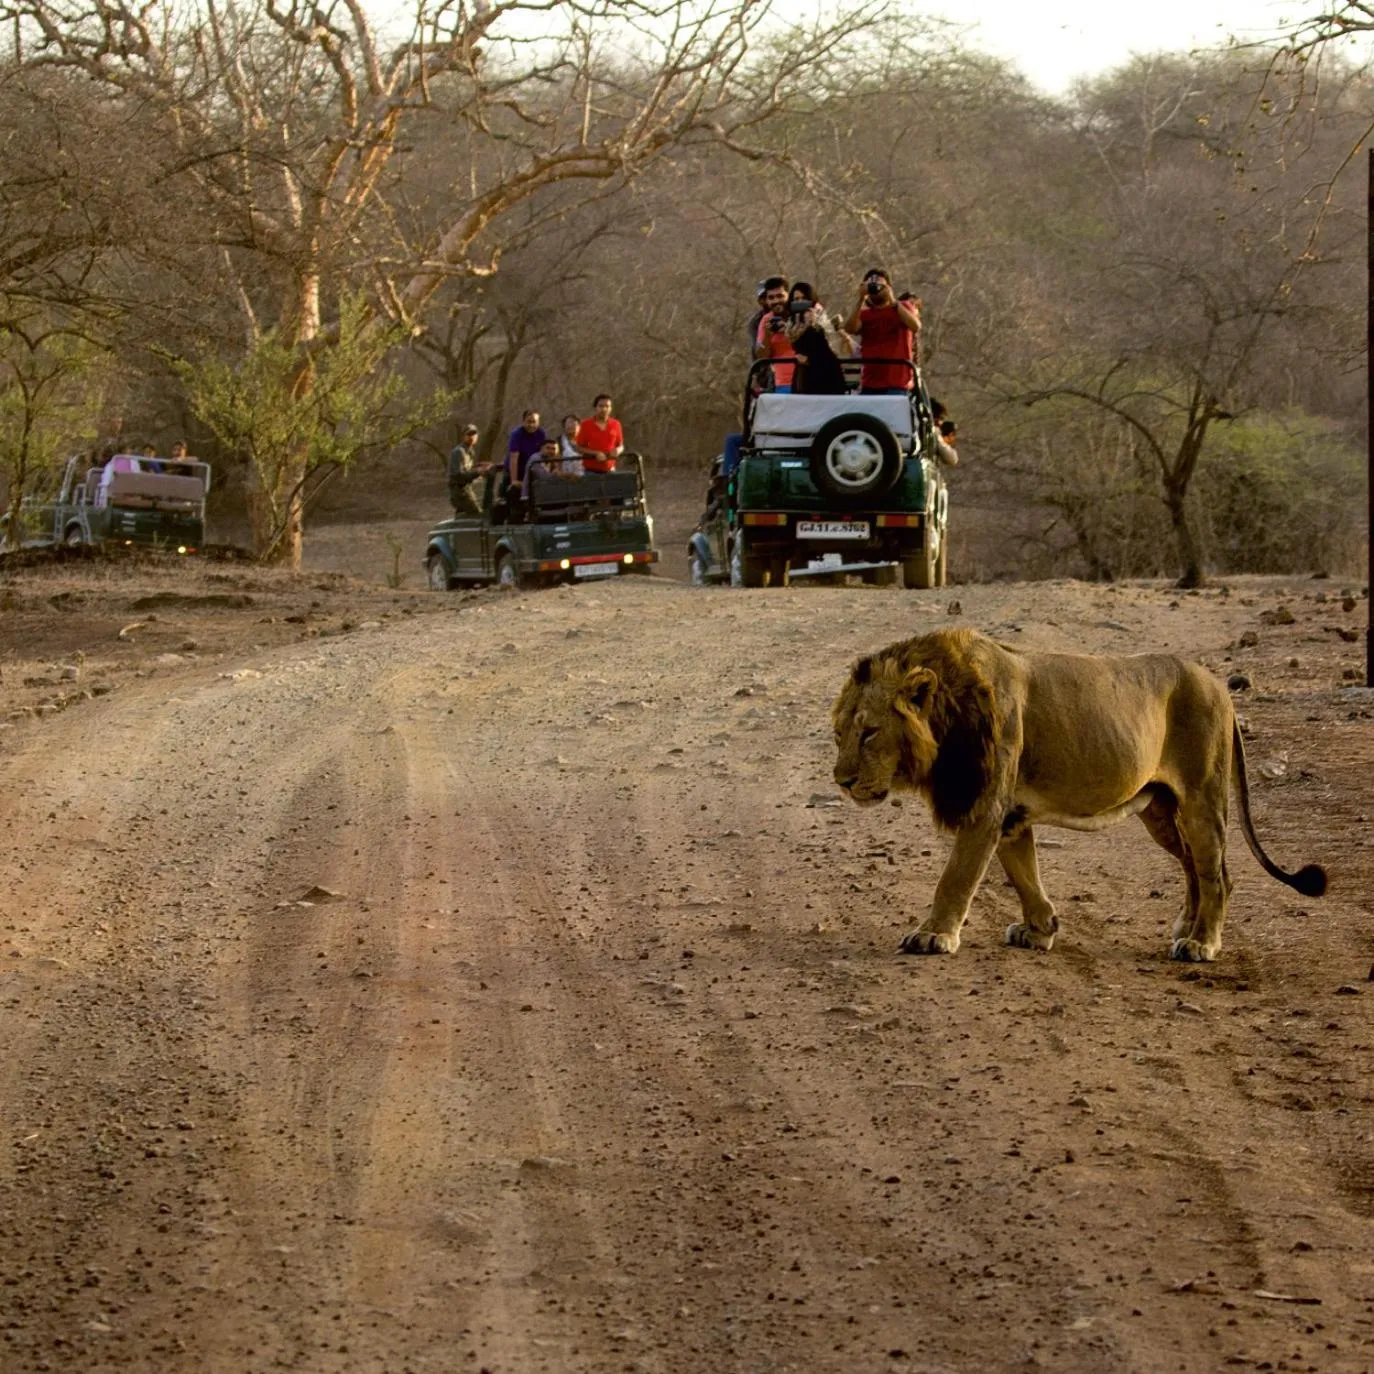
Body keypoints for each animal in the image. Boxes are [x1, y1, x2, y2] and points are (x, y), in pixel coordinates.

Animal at [830, 628, 1326, 962]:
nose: (842, 781)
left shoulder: (985, 807)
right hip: (1160, 809)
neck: (948, 713)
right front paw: (1041, 928)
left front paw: (933, 935)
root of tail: (1219, 685)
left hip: (1202, 798)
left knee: (1217, 873)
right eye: (839, 735)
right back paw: (1188, 925)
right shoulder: (1010, 816)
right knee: (1192, 865)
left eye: (870, 733)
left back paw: (1201, 943)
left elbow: (955, 878)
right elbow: (1024, 874)